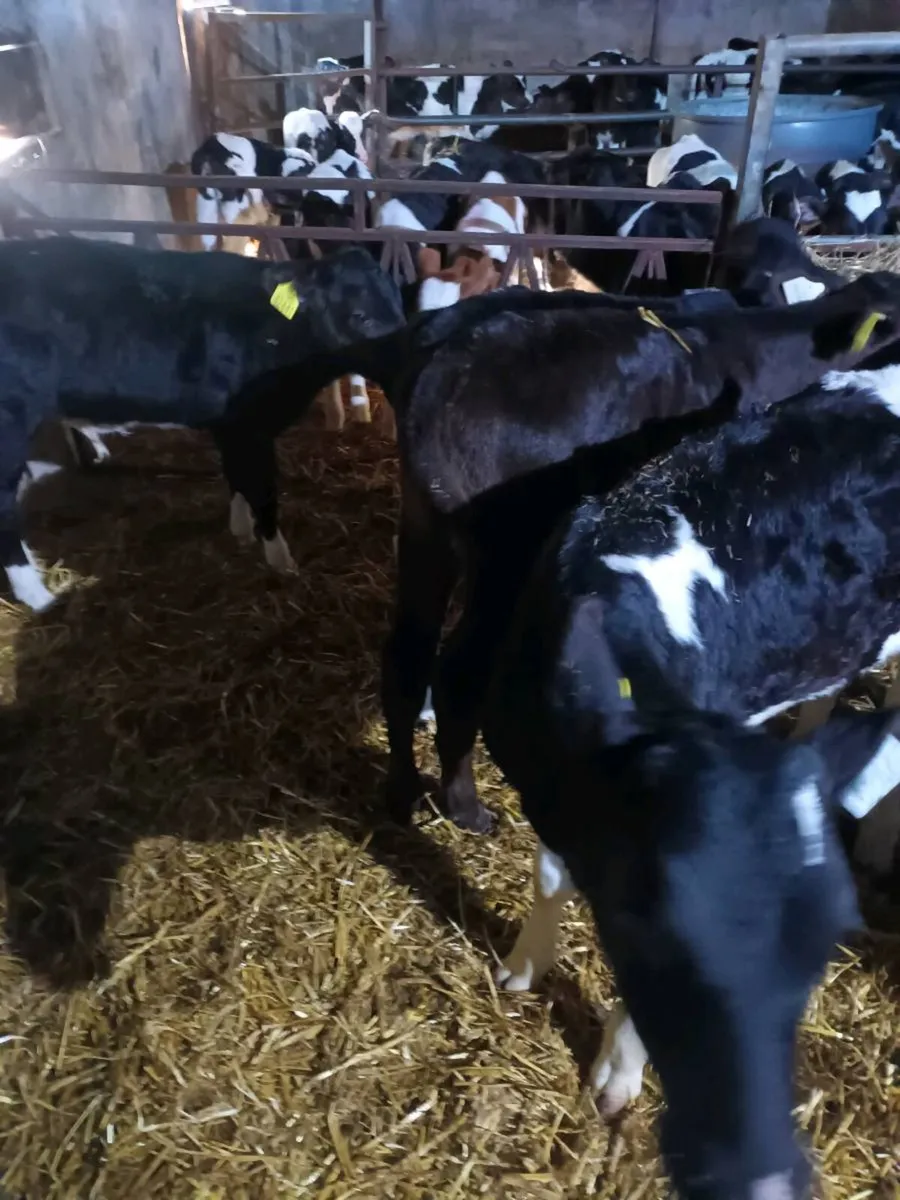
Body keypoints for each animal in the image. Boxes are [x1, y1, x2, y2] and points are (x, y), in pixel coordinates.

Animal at [0, 238, 407, 610]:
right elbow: (263, 491)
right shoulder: (250, 427)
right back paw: (39, 597)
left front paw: (240, 530)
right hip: (10, 422)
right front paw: (281, 559)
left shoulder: (229, 427)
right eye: (360, 315)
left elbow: (236, 478)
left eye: (398, 306)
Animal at [482, 364, 900, 1199]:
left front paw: (617, 1072)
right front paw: (523, 966)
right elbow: (549, 877)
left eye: (820, 950)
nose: (760, 1176)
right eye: (654, 934)